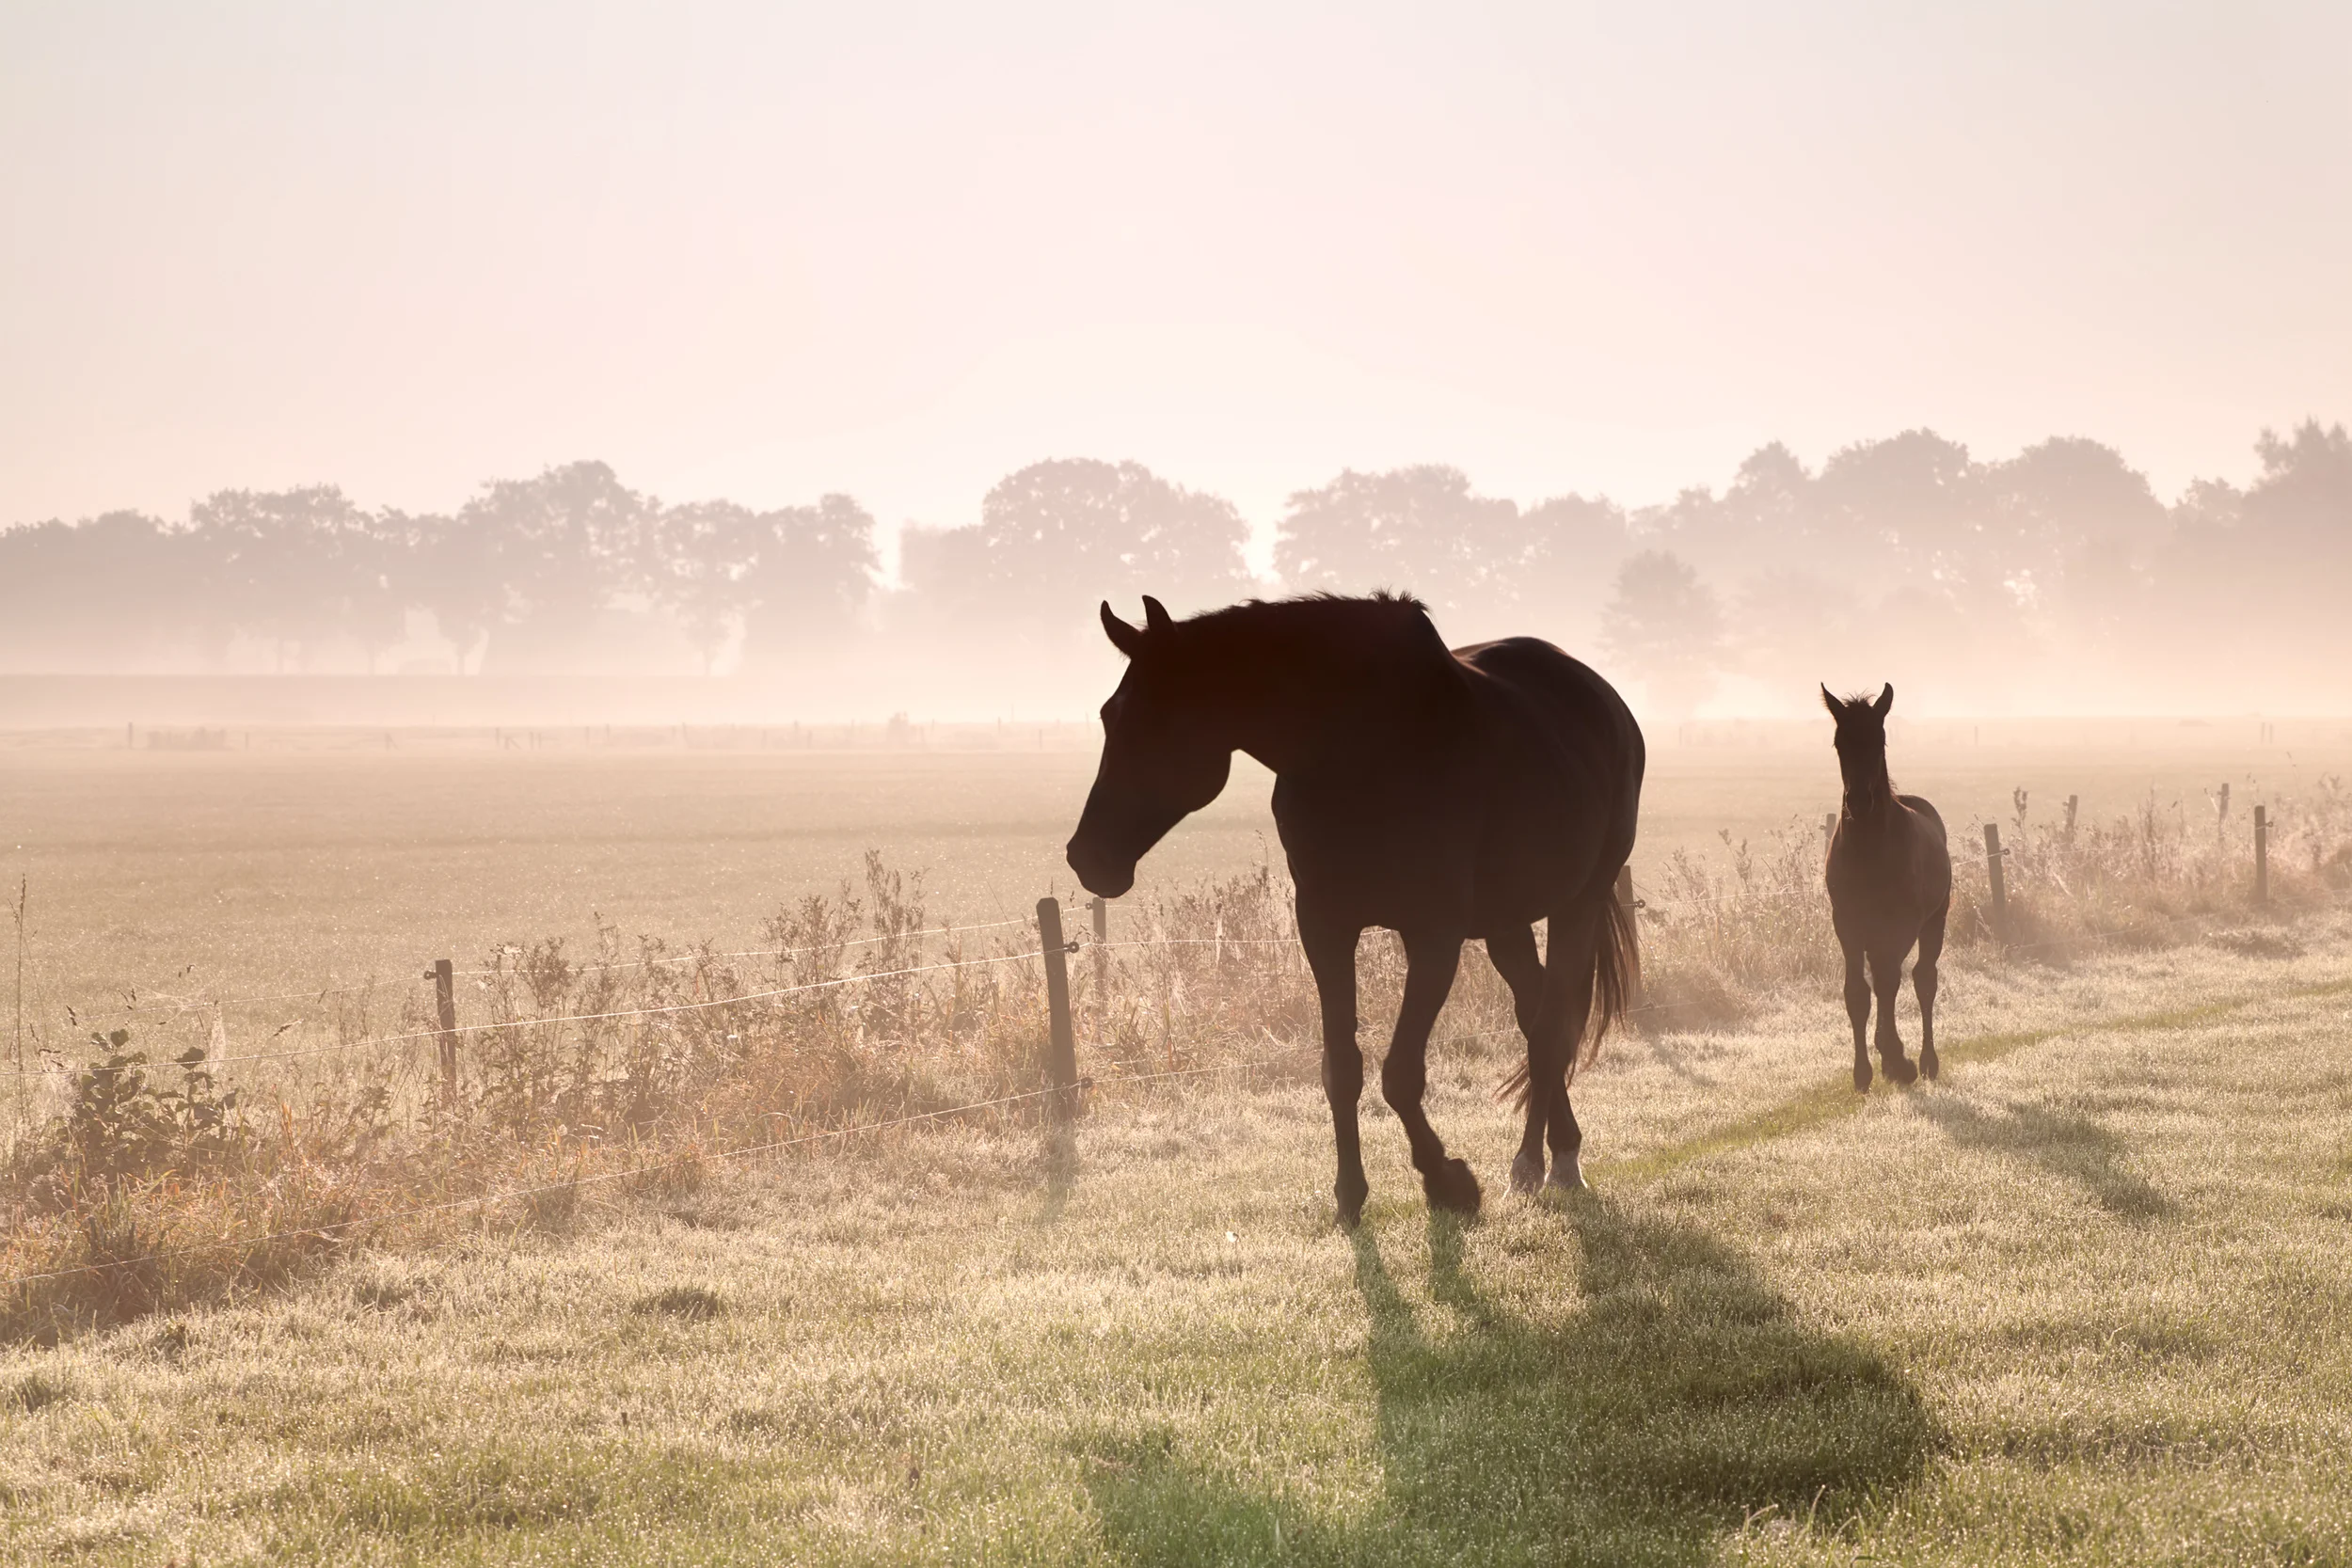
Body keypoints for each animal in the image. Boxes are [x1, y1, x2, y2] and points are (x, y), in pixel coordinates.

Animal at [1066, 593, 1644, 1228]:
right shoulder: (1325, 926)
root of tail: (1604, 699)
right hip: (1507, 922)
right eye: (1108, 715)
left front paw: (1449, 1183)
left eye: (1161, 720)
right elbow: (1341, 1069)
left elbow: (1400, 1075)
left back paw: (1541, 1163)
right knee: (1534, 1010)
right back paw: (1554, 1149)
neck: (1358, 748)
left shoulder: (1433, 936)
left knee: (1548, 1030)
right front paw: (1350, 1193)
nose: (1087, 857)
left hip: (1578, 903)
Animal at [1821, 684, 1952, 1091]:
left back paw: (1925, 1061)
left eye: (1878, 740)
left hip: (1934, 921)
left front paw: (1897, 1059)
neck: (1869, 850)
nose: (1859, 802)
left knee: (1923, 979)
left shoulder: (1900, 923)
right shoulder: (1846, 922)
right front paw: (1864, 1071)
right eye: (1839, 742)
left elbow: (1890, 980)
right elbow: (1857, 992)